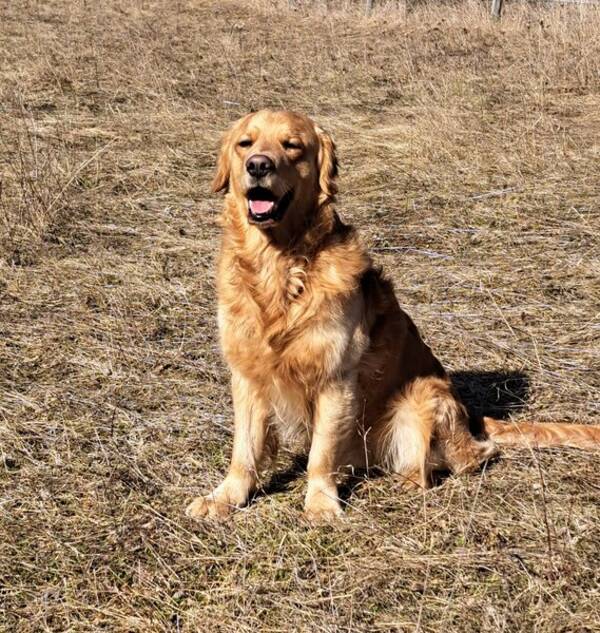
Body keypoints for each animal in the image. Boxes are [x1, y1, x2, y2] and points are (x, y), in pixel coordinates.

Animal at [184, 110, 600, 520]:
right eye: (246, 143)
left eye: (292, 146)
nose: (258, 165)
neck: (280, 266)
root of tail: (471, 416)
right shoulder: (247, 374)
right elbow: (244, 450)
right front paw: (225, 497)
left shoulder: (337, 377)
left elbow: (321, 454)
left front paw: (320, 504)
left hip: (423, 395)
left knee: (471, 456)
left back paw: (410, 480)